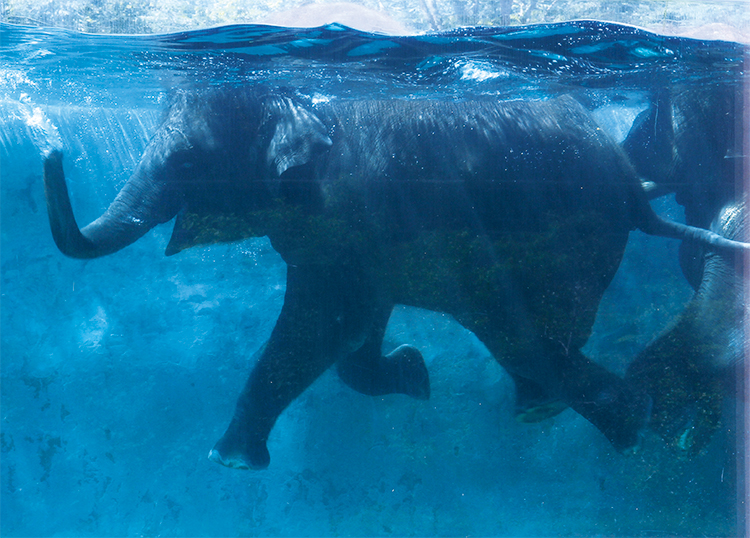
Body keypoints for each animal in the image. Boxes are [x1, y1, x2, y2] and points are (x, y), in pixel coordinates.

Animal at [42, 87, 750, 464]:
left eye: (188, 162)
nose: (50, 146)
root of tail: (635, 194)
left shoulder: (357, 213)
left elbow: (322, 331)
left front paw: (231, 461)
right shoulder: (341, 241)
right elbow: (340, 328)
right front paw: (413, 373)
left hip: (562, 245)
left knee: (523, 335)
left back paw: (605, 418)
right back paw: (560, 411)